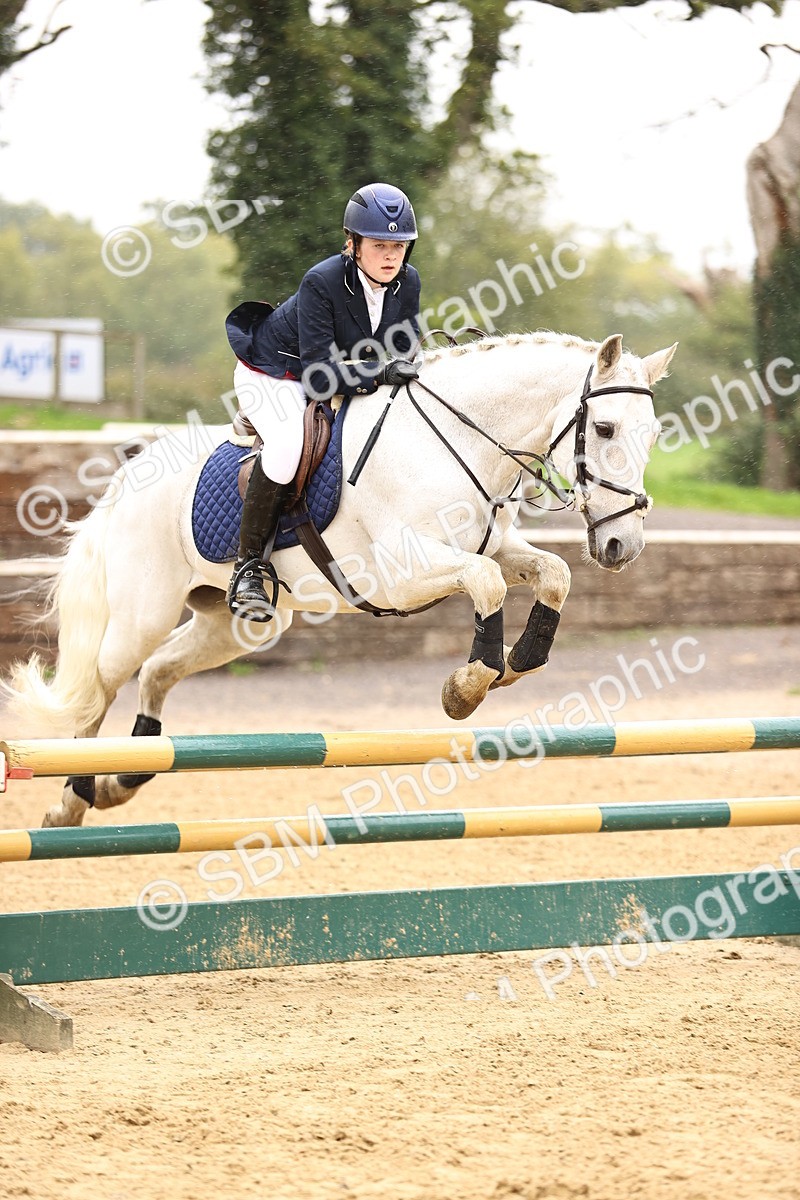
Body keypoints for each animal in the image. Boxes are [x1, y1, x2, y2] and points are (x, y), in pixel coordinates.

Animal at [2, 331, 676, 827]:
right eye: (605, 430)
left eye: (653, 435)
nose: (622, 546)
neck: (455, 441)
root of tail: (130, 473)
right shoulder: (401, 572)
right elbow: (486, 582)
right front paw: (468, 686)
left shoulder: (496, 544)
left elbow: (552, 573)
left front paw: (519, 660)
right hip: (142, 613)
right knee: (99, 688)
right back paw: (72, 800)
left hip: (237, 625)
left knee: (159, 671)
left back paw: (125, 777)